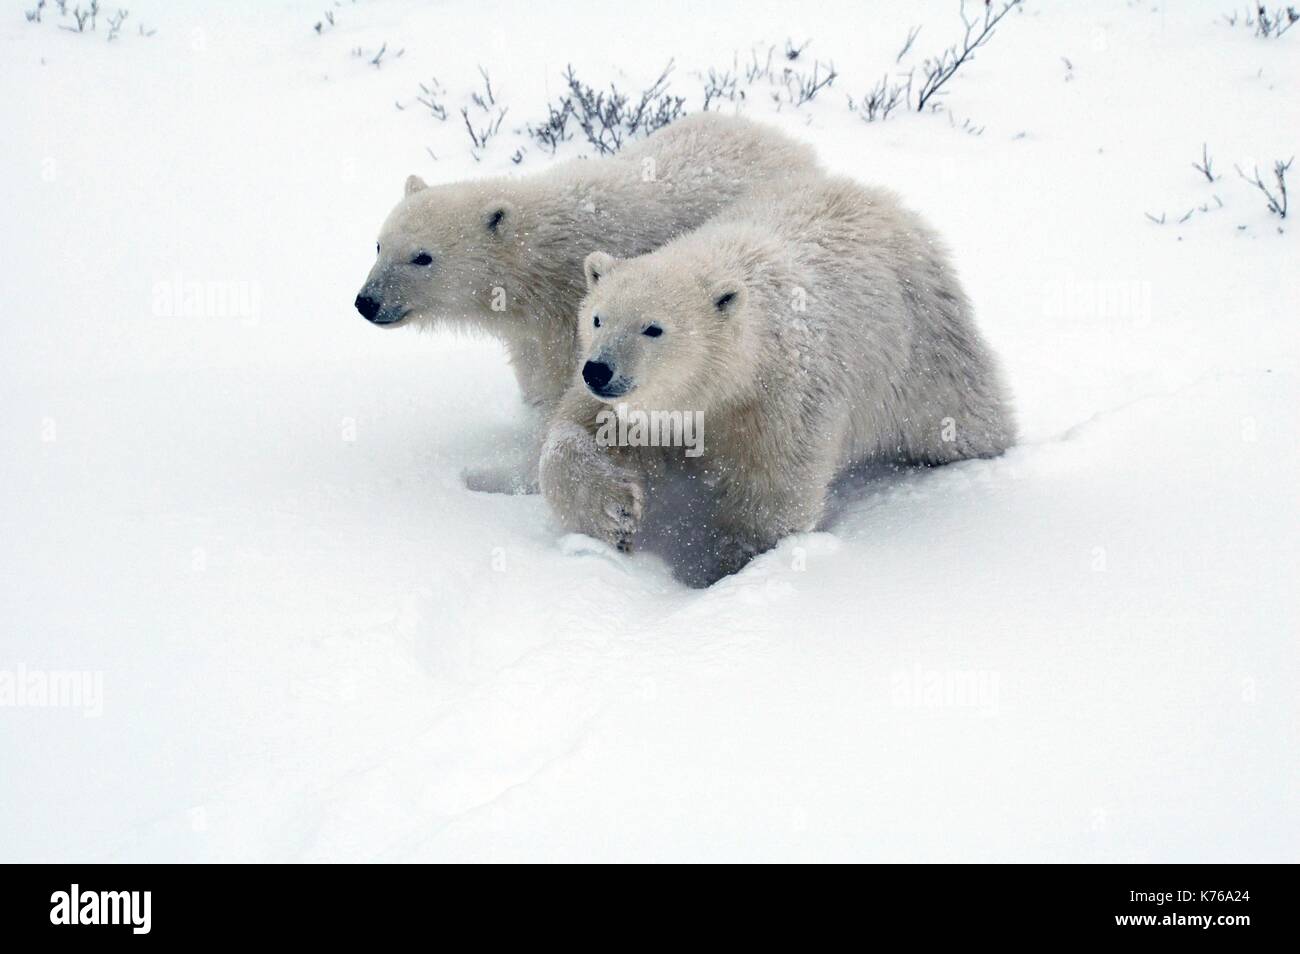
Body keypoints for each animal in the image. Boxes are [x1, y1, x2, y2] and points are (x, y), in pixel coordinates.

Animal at [353, 113, 821, 493]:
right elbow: (538, 385)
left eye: (422, 257)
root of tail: (787, 140)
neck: (542, 258)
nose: (366, 302)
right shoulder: (537, 330)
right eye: (379, 245)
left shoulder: (569, 318)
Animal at [538, 176, 1013, 587]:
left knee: (957, 415)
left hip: (922, 345)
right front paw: (613, 515)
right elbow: (578, 433)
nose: (599, 370)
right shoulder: (634, 404)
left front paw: (732, 565)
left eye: (653, 328)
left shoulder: (778, 397)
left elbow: (773, 487)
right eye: (597, 318)